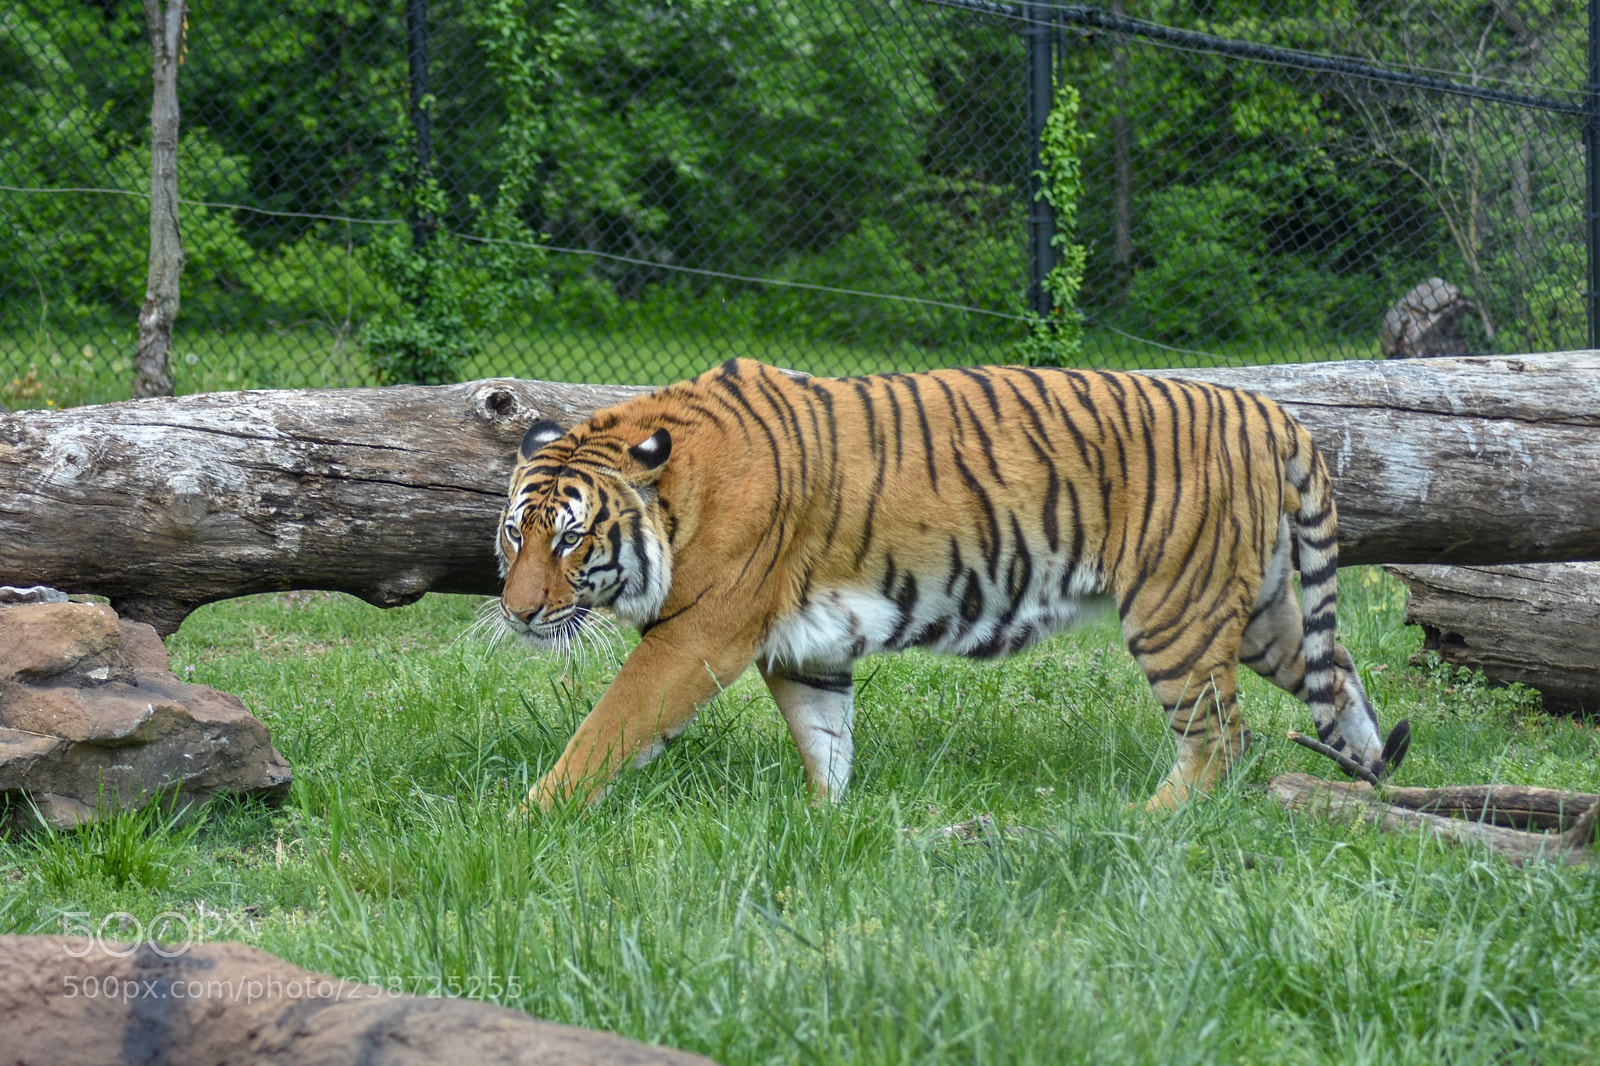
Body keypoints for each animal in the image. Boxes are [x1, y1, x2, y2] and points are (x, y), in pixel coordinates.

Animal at [495, 357, 1410, 811]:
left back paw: (1148, 820)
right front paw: (825, 821)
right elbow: (824, 737)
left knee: (1221, 736)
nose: (518, 613)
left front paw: (530, 815)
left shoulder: (699, 632)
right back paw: (1373, 786)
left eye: (571, 539)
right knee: (1341, 676)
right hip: (1257, 612)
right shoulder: (803, 647)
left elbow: (607, 729)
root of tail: (1270, 411)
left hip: (1174, 611)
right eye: (516, 532)